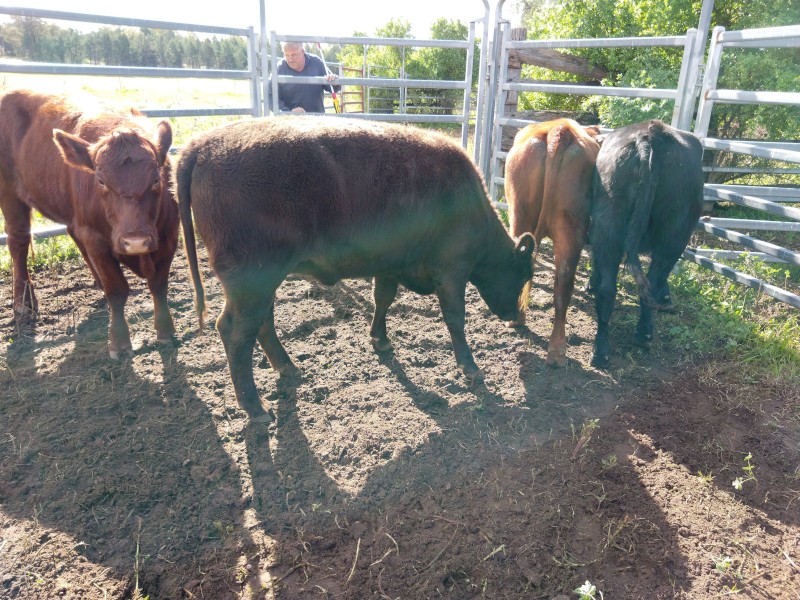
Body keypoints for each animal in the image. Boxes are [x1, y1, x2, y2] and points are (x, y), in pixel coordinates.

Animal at [0, 89, 179, 358]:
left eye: (156, 178)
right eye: (101, 181)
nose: (135, 241)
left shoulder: (169, 235)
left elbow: (159, 285)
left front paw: (166, 331)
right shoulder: (97, 240)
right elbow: (117, 290)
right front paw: (119, 343)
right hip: (10, 194)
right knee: (18, 241)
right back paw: (23, 304)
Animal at [176, 117, 535, 422]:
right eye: (523, 275)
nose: (514, 315)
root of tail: (202, 145)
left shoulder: (389, 265)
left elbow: (383, 299)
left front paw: (380, 339)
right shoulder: (452, 272)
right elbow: (455, 319)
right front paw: (470, 367)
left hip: (263, 284)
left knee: (262, 324)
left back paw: (288, 368)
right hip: (252, 283)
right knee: (236, 332)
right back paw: (254, 407)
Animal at [589, 119, 703, 368]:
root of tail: (652, 134)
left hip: (613, 228)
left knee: (613, 288)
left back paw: (606, 348)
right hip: (672, 236)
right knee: (647, 281)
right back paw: (641, 334)